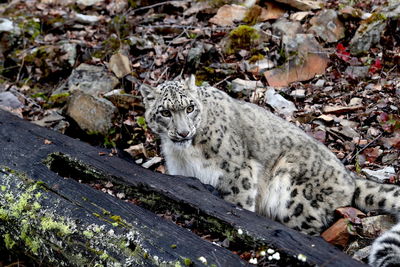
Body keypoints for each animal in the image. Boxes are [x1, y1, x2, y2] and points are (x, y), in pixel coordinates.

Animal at [139, 75, 398, 266]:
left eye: (190, 107)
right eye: (165, 112)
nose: (183, 132)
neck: (184, 154)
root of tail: (350, 179)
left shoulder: (237, 172)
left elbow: (237, 206)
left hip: (293, 194)